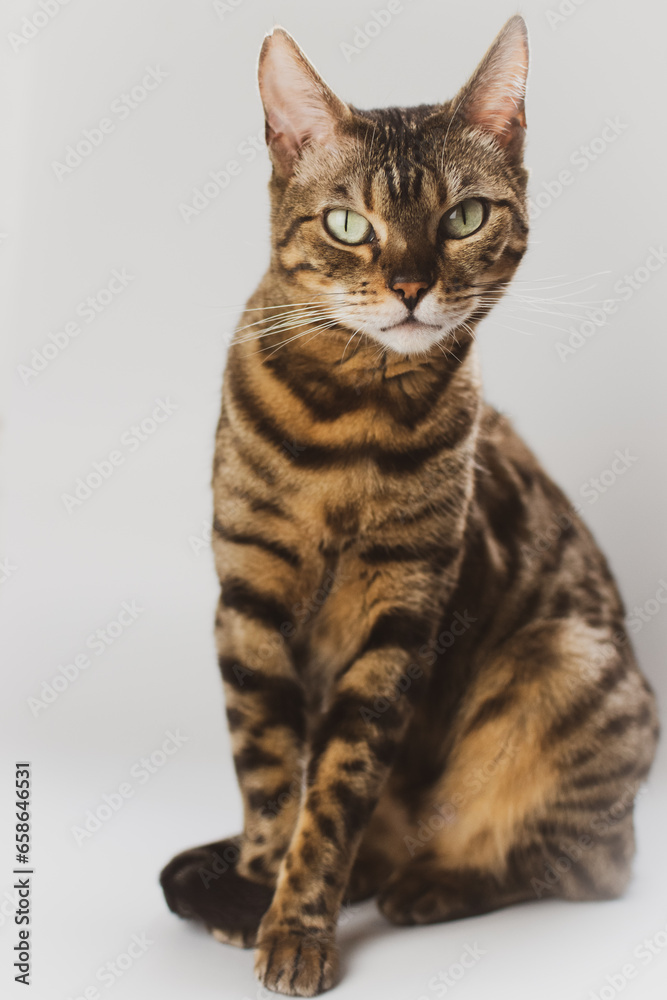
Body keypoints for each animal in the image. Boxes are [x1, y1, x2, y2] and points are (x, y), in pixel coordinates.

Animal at [159, 17, 660, 1000]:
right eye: (349, 225)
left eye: (463, 217)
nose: (410, 285)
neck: (347, 419)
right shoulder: (249, 601)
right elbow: (272, 778)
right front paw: (258, 889)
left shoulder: (398, 618)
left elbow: (334, 791)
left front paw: (297, 924)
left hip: (564, 661)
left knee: (585, 863)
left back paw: (431, 885)